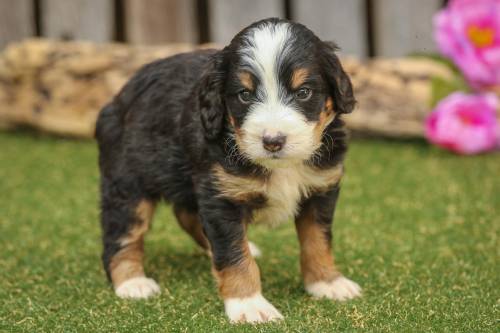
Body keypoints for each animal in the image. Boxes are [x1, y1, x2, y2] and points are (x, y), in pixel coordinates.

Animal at [95, 17, 362, 322]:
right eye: (244, 95)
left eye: (303, 92)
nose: (272, 141)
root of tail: (118, 97)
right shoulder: (222, 196)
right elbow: (233, 254)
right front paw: (249, 304)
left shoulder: (321, 189)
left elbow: (317, 240)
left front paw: (327, 282)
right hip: (127, 182)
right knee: (123, 233)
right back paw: (132, 281)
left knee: (186, 215)